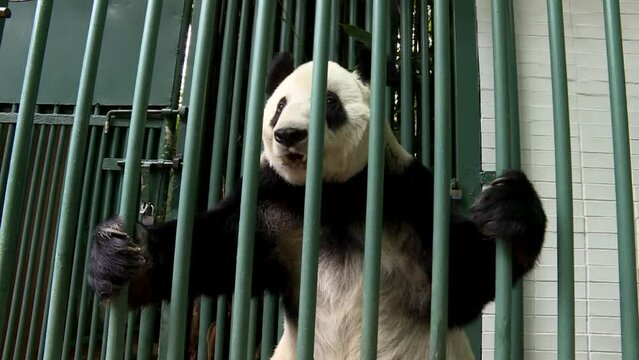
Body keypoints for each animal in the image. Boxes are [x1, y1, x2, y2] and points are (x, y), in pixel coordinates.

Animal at [87, 53, 548, 360]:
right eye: (279, 106)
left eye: (330, 103)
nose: (288, 135)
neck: (333, 197)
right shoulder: (270, 211)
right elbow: (204, 252)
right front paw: (119, 253)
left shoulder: (405, 198)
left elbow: (464, 278)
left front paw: (509, 208)